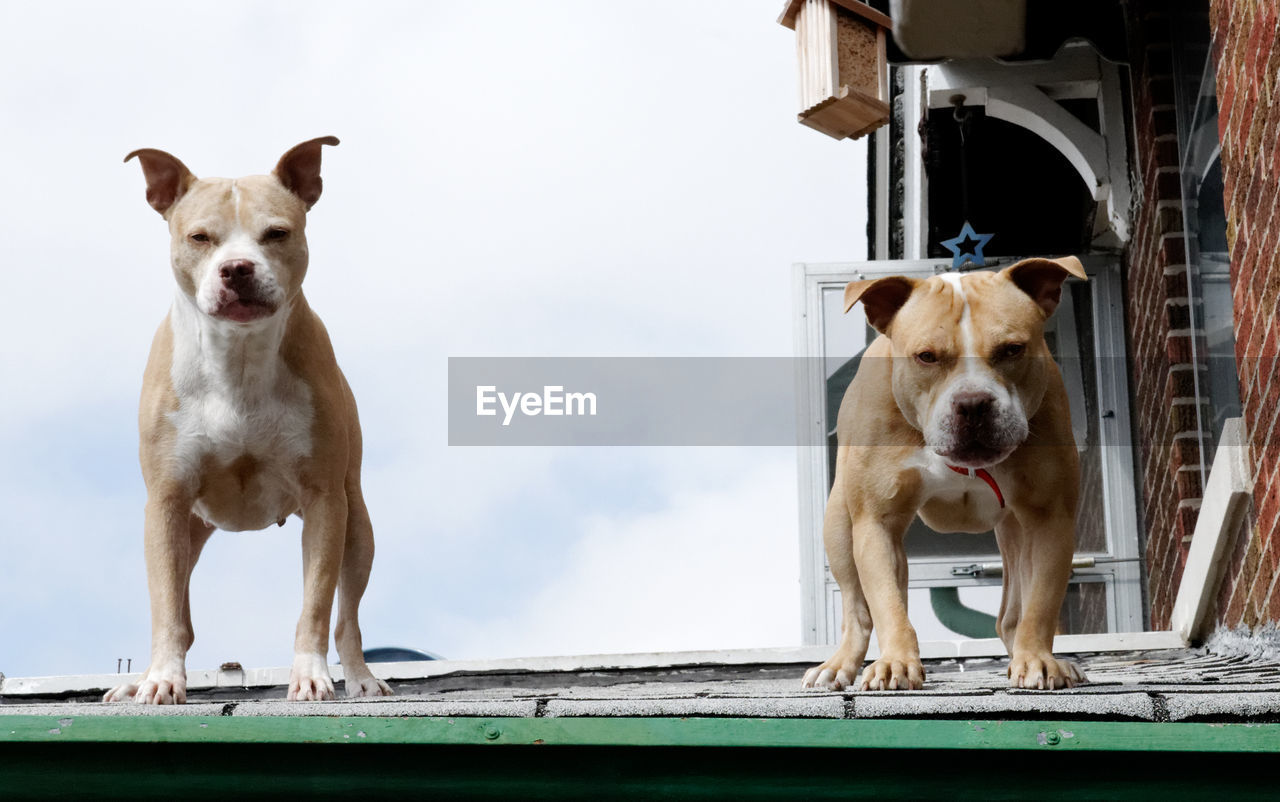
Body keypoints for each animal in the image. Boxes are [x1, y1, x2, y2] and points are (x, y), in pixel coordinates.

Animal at [104, 141, 389, 706]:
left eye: (276, 233)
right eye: (199, 237)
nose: (236, 268)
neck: (237, 356)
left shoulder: (325, 500)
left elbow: (317, 603)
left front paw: (310, 675)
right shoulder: (166, 501)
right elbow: (166, 608)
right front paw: (161, 680)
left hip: (358, 524)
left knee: (346, 615)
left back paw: (362, 678)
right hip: (188, 530)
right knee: (179, 608)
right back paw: (138, 680)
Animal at [798, 257, 1090, 690]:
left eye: (1012, 349)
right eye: (926, 357)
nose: (973, 403)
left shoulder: (1049, 518)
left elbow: (1041, 601)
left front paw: (1038, 660)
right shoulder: (877, 523)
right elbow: (887, 603)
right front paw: (896, 664)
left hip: (1015, 533)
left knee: (1012, 613)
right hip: (838, 526)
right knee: (858, 608)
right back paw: (839, 665)